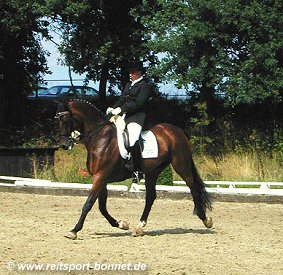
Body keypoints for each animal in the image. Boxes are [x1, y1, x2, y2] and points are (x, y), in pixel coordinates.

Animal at [55, 100, 213, 240]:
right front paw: (121, 224)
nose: (64, 145)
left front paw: (74, 231)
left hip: (181, 166)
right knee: (150, 197)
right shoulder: (101, 178)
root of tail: (177, 131)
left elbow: (88, 204)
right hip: (152, 172)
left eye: (65, 120)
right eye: (58, 120)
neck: (100, 137)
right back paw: (138, 227)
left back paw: (205, 219)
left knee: (193, 188)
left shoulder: (100, 177)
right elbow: (101, 206)